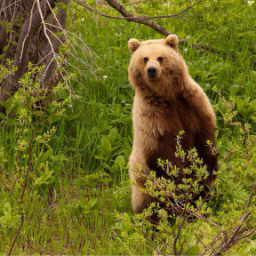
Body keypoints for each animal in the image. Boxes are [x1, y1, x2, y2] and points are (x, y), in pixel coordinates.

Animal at [127, 34, 217, 214]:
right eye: (145, 58)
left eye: (160, 57)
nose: (152, 70)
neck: (166, 94)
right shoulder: (153, 118)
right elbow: (163, 156)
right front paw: (180, 185)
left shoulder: (193, 104)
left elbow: (205, 138)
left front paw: (207, 175)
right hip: (143, 183)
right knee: (149, 204)